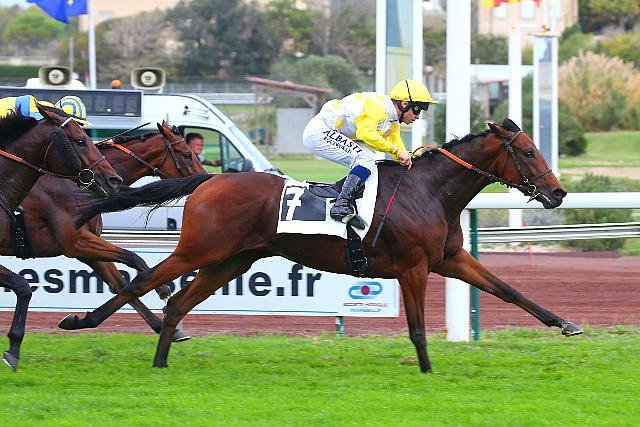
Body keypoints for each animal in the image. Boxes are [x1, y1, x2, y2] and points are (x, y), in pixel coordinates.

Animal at [0, 104, 122, 371]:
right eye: (80, 140)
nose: (113, 179)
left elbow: (23, 287)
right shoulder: (75, 241)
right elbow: (23, 286)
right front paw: (13, 348)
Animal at [4, 122, 204, 343]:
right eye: (187, 154)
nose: (205, 177)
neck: (81, 188)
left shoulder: (87, 249)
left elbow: (119, 284)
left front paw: (167, 327)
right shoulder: (76, 242)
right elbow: (134, 258)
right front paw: (164, 289)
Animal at [61, 119, 583, 372]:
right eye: (529, 151)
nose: (558, 193)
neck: (430, 191)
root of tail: (208, 181)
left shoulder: (449, 259)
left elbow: (508, 290)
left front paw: (566, 324)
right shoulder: (414, 268)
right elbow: (417, 329)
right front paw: (427, 370)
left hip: (230, 262)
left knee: (176, 303)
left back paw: (161, 360)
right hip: (200, 251)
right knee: (145, 279)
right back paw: (81, 321)